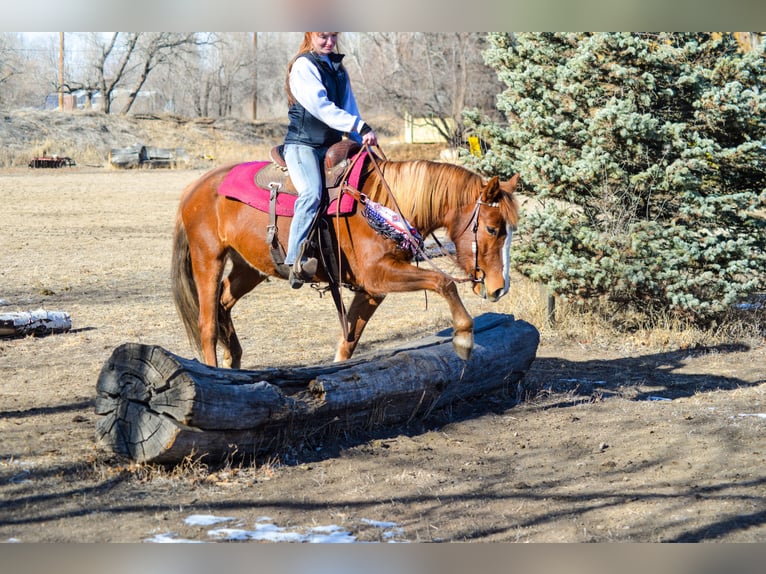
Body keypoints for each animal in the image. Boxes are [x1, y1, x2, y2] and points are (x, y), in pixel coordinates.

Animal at [171, 147, 519, 369]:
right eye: (492, 228)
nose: (499, 288)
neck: (382, 204)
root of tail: (193, 188)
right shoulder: (377, 274)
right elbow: (444, 282)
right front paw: (464, 338)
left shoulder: (372, 289)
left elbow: (349, 341)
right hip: (208, 258)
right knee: (206, 323)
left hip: (250, 268)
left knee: (223, 304)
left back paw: (233, 359)